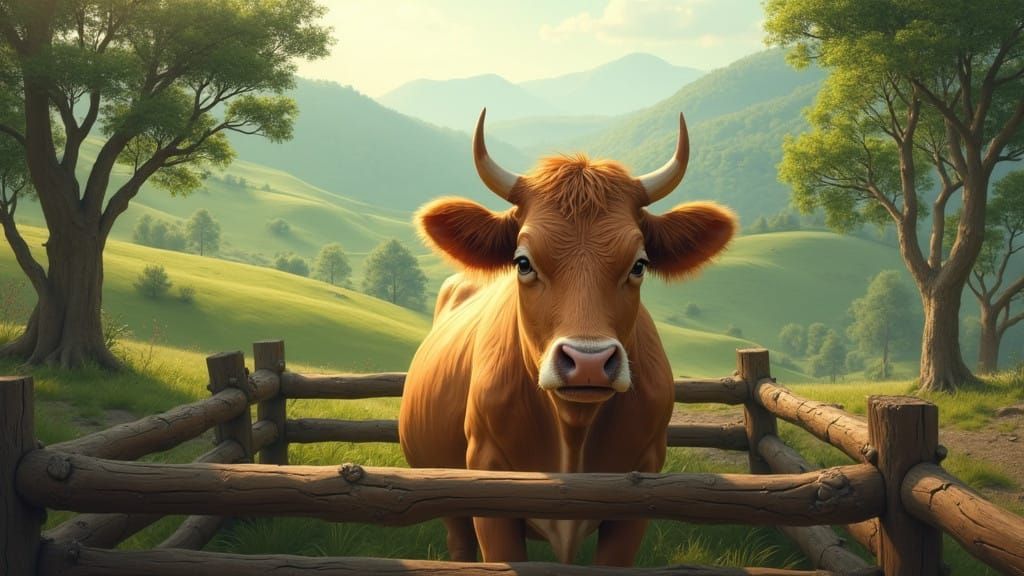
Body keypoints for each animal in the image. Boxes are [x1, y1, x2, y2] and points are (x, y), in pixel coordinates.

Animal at [399, 109, 736, 566]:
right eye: (523, 262)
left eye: (639, 264)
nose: (589, 362)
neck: (571, 432)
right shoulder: (487, 488)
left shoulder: (639, 492)